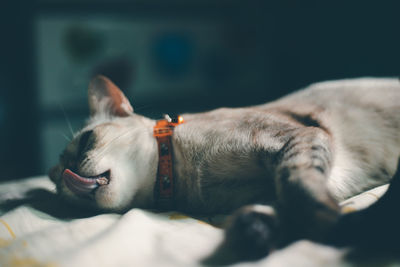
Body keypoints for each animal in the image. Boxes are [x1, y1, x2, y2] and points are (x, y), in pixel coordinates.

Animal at [49, 75, 400, 264]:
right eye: (58, 191)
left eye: (85, 142)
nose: (67, 174)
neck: (189, 186)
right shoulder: (265, 192)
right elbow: (277, 210)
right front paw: (256, 233)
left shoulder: (295, 142)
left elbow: (299, 189)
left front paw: (335, 222)